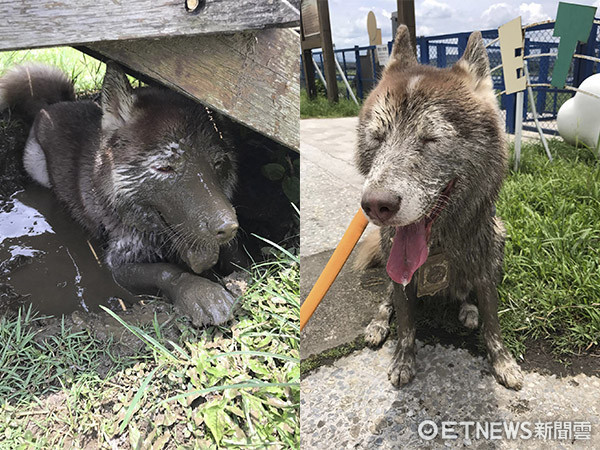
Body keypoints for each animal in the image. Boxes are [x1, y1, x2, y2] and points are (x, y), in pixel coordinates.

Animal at [2, 63, 241, 326]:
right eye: (165, 167)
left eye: (217, 164)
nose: (228, 228)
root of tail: (54, 105)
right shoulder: (117, 264)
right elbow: (166, 271)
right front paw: (199, 291)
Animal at [354, 25, 524, 390]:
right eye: (378, 137)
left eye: (431, 139)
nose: (376, 205)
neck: (440, 244)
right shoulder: (401, 280)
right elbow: (406, 326)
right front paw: (403, 359)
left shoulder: (485, 267)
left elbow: (493, 323)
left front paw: (503, 362)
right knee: (386, 298)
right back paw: (378, 323)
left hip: (499, 237)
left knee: (466, 294)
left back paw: (468, 310)